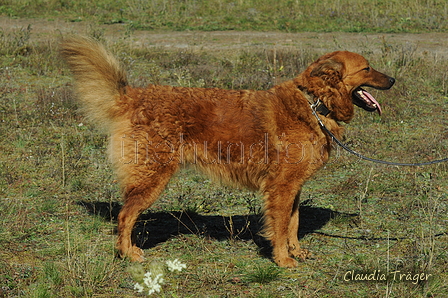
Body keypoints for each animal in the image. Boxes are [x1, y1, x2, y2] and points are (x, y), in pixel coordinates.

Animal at [61, 37, 394, 268]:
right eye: (367, 68)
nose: (392, 79)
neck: (315, 103)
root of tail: (135, 96)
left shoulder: (292, 188)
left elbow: (293, 224)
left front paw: (296, 251)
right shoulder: (281, 188)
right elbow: (280, 227)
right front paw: (283, 260)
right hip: (152, 177)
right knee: (125, 215)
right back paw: (126, 253)